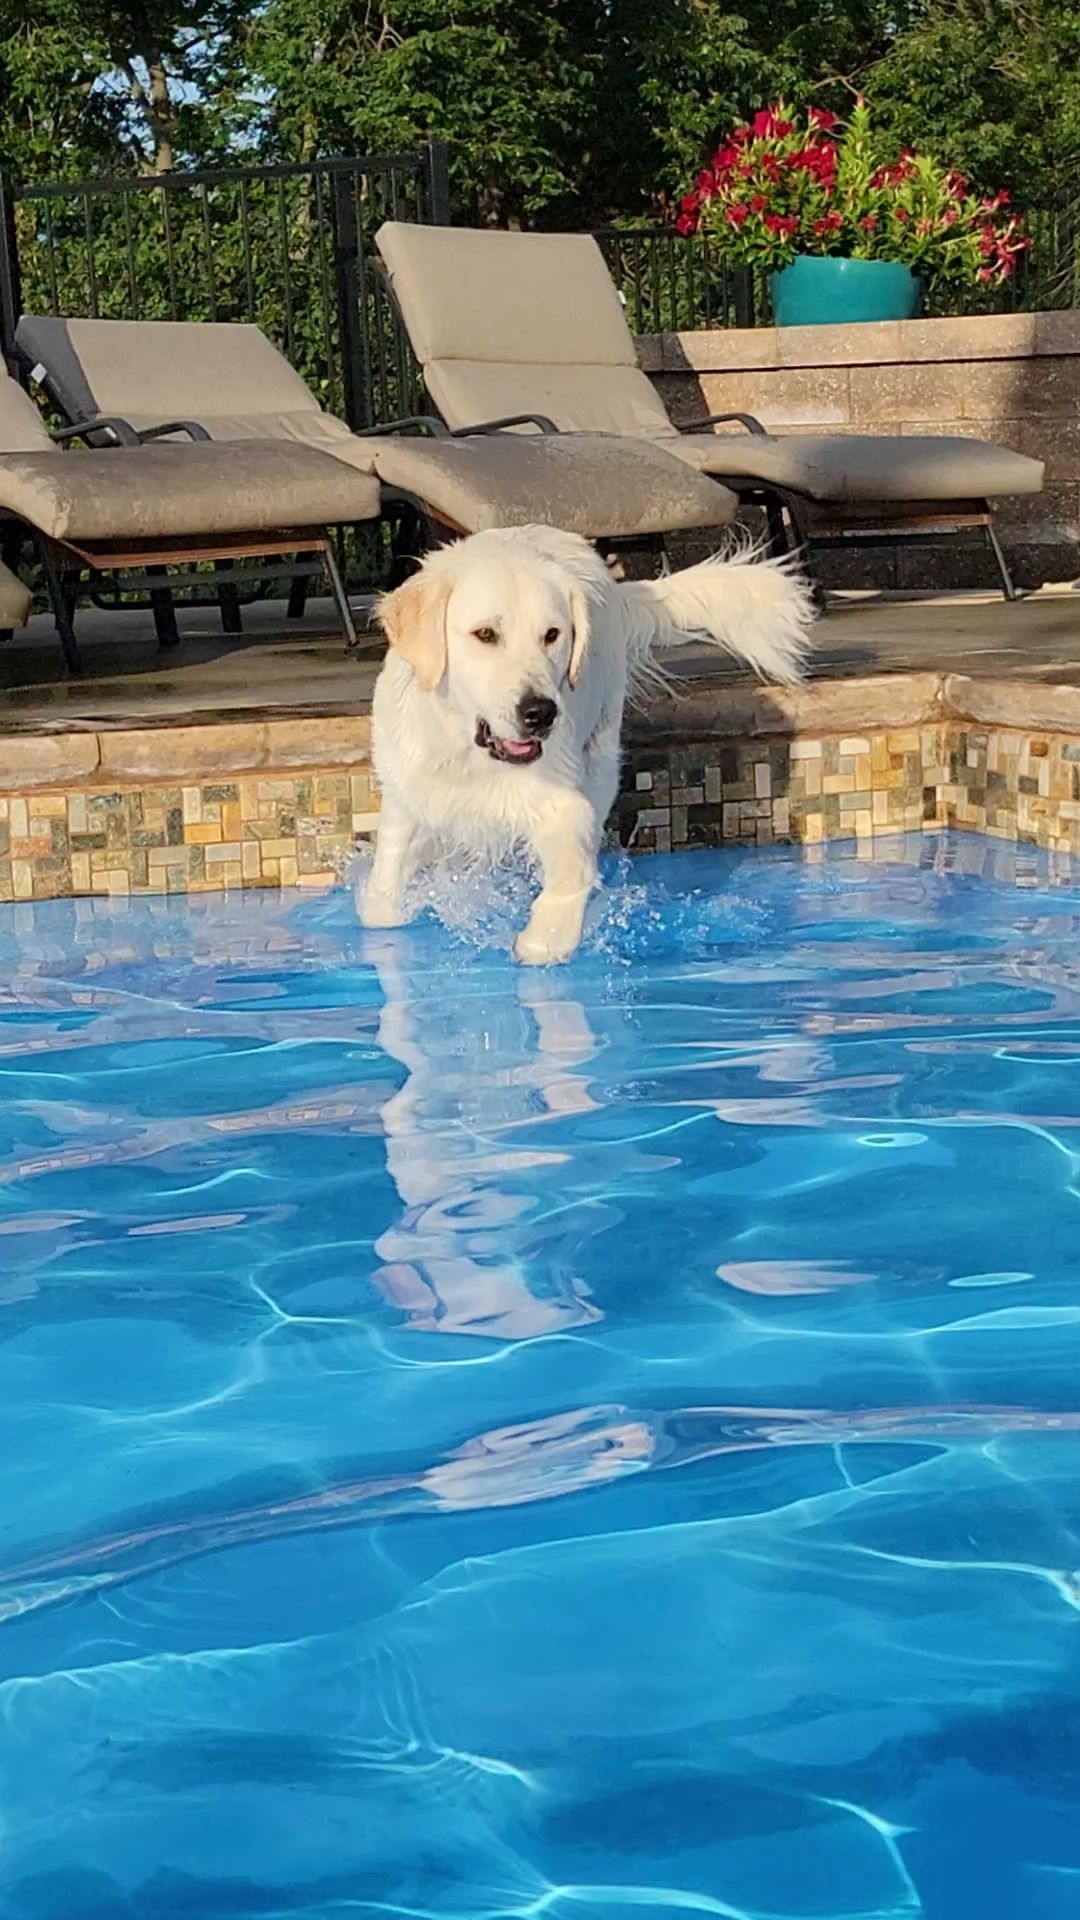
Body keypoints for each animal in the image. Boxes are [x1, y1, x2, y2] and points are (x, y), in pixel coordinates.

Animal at [353, 526, 807, 967]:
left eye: (552, 635)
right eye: (485, 634)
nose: (540, 712)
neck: (467, 755)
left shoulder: (561, 800)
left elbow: (573, 864)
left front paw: (546, 938)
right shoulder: (409, 802)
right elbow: (383, 898)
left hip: (602, 753)